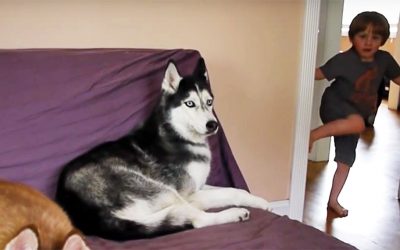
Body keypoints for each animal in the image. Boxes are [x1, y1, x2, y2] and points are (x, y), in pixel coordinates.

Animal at [56, 57, 270, 241]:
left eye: (209, 102)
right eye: (189, 103)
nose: (213, 125)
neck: (176, 134)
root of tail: (76, 206)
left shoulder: (198, 186)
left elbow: (236, 190)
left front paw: (263, 203)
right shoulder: (188, 193)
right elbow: (228, 193)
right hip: (162, 191)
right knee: (197, 219)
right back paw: (233, 214)